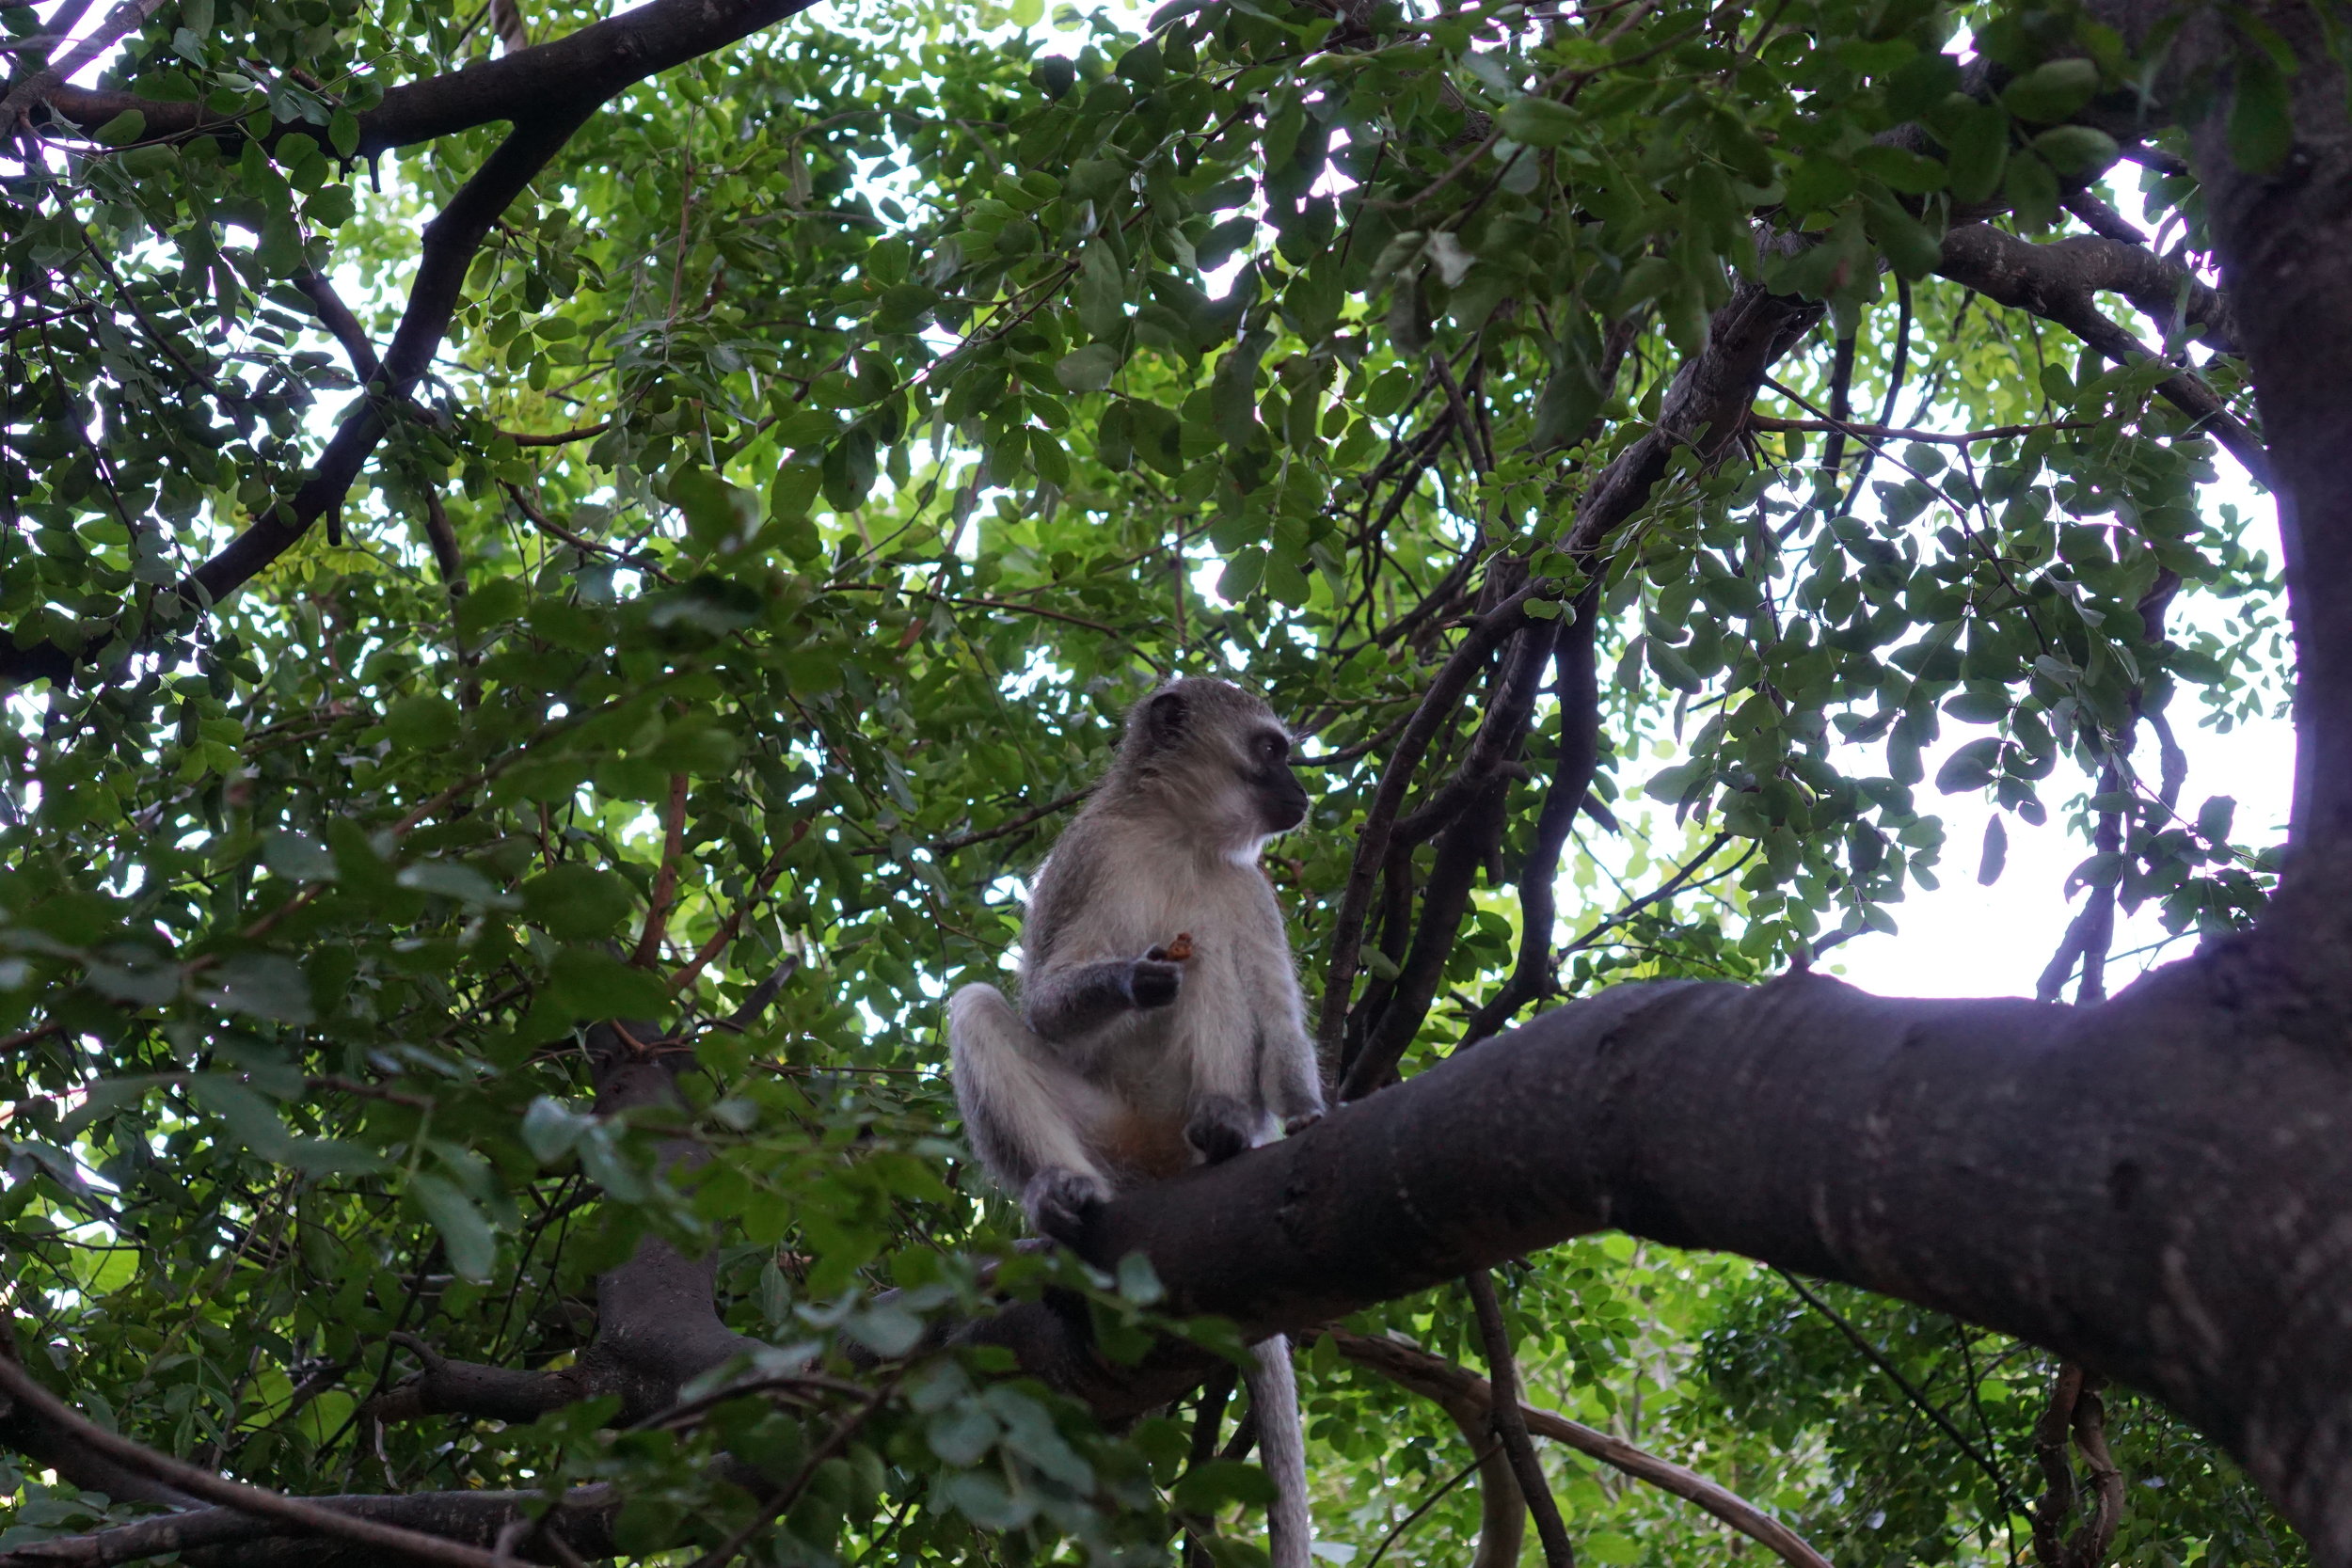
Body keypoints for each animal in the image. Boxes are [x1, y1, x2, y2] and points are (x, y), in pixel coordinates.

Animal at [948, 675, 1323, 1568]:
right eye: (1271, 749)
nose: (1301, 793)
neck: (1178, 837)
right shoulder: (1086, 854)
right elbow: (1042, 1002)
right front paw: (1131, 977)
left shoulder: (1249, 892)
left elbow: (1277, 1016)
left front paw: (1309, 1116)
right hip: (1108, 1138)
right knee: (979, 1009)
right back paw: (1063, 1196)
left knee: (1217, 965)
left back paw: (1224, 1131)